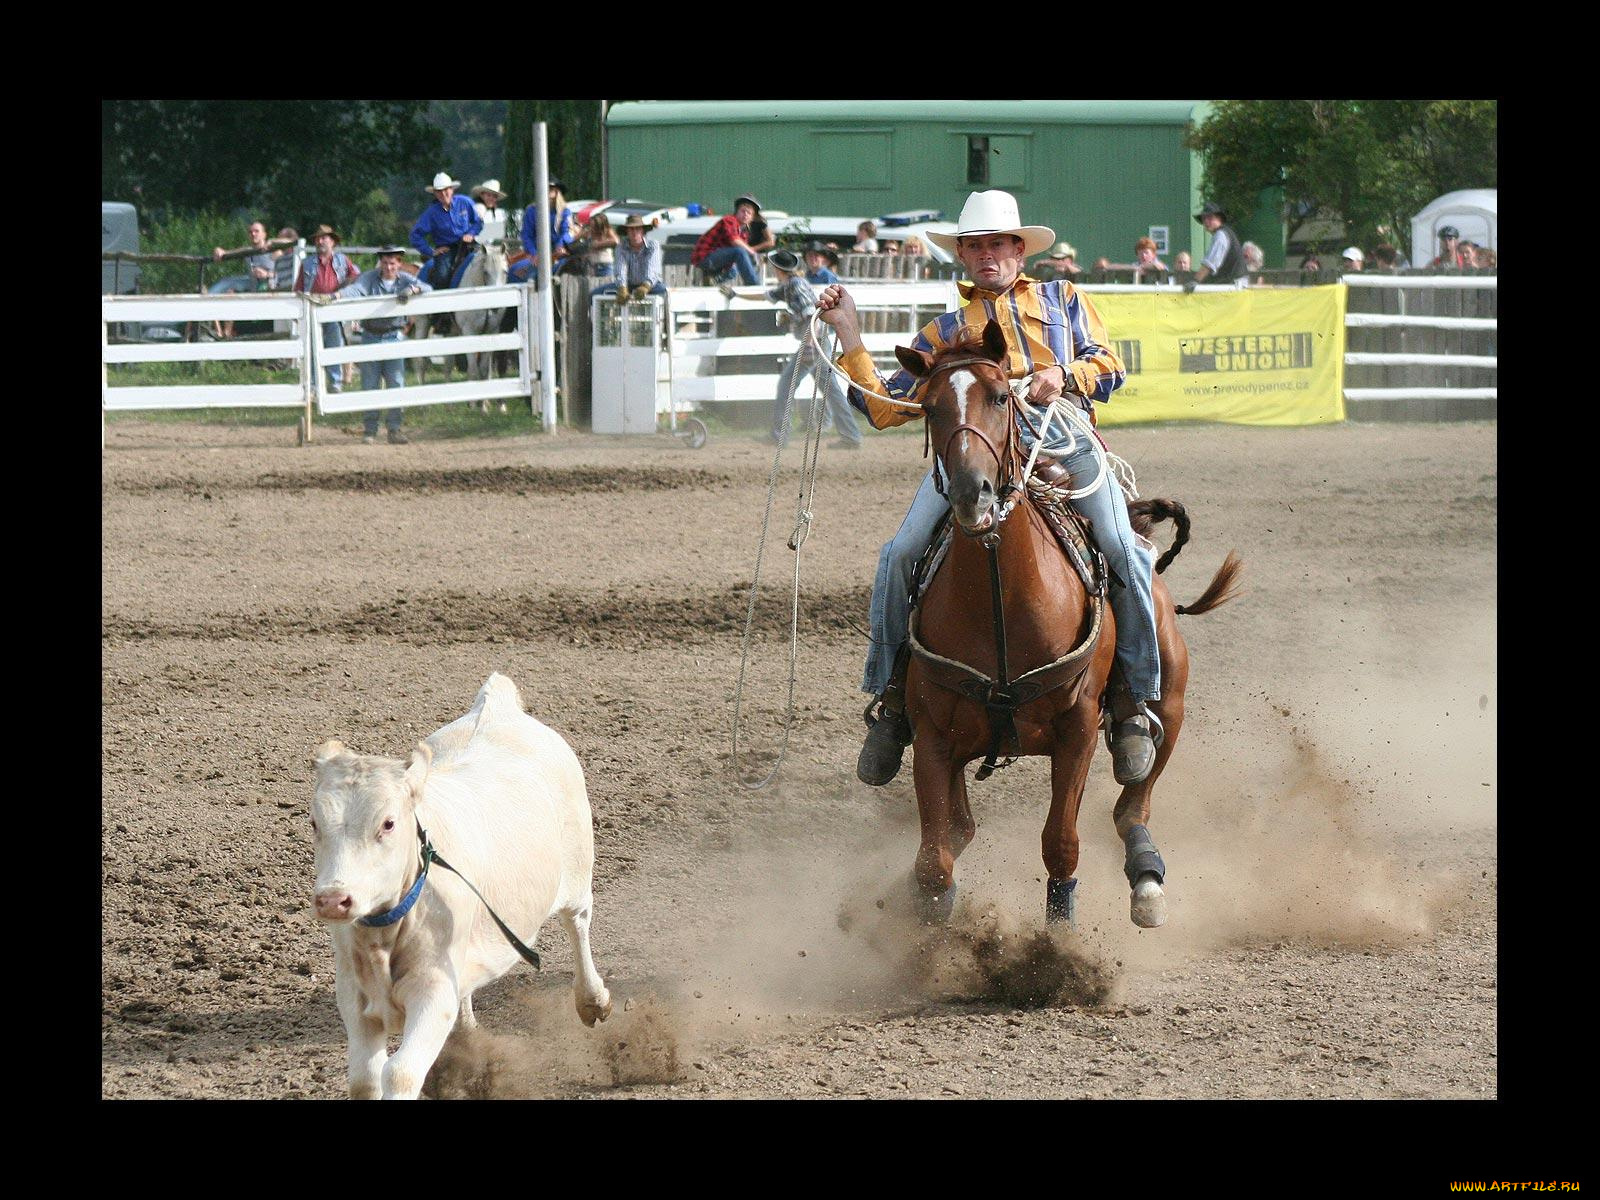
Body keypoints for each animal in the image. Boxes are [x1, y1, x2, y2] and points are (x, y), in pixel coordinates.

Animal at [308, 672, 608, 1107]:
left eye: (388, 823)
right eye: (314, 822)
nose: (333, 900)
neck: (385, 933)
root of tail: (497, 708)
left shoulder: (432, 990)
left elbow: (399, 1072)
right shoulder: (354, 991)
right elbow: (364, 1080)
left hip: (578, 873)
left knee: (578, 924)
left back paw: (592, 999)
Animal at [896, 324, 1241, 934]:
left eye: (1001, 397)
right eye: (929, 408)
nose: (971, 493)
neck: (1000, 601)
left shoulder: (1076, 729)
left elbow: (1060, 842)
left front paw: (1058, 941)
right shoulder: (934, 735)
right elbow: (936, 857)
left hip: (1171, 707)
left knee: (1132, 803)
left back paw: (1147, 879)